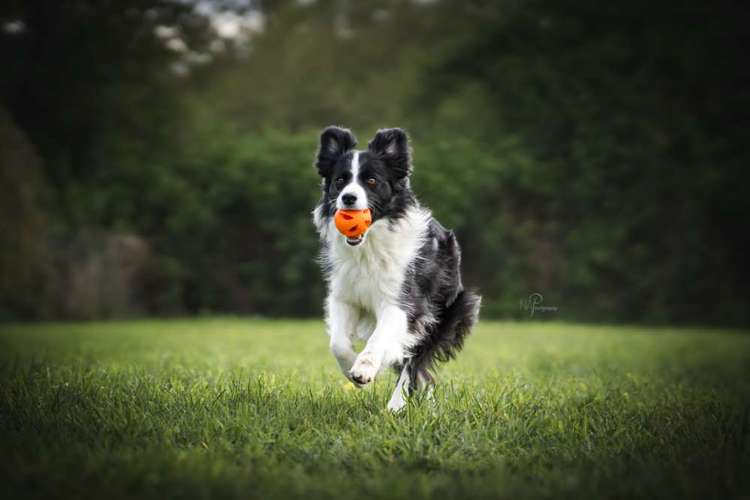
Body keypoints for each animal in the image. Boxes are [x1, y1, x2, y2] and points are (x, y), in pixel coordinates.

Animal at [312, 127, 482, 412]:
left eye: (371, 180)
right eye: (340, 180)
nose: (348, 198)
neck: (368, 244)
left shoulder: (403, 303)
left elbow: (379, 339)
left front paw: (365, 369)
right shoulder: (344, 296)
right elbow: (338, 343)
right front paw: (353, 370)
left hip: (443, 314)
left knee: (413, 363)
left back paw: (396, 406)